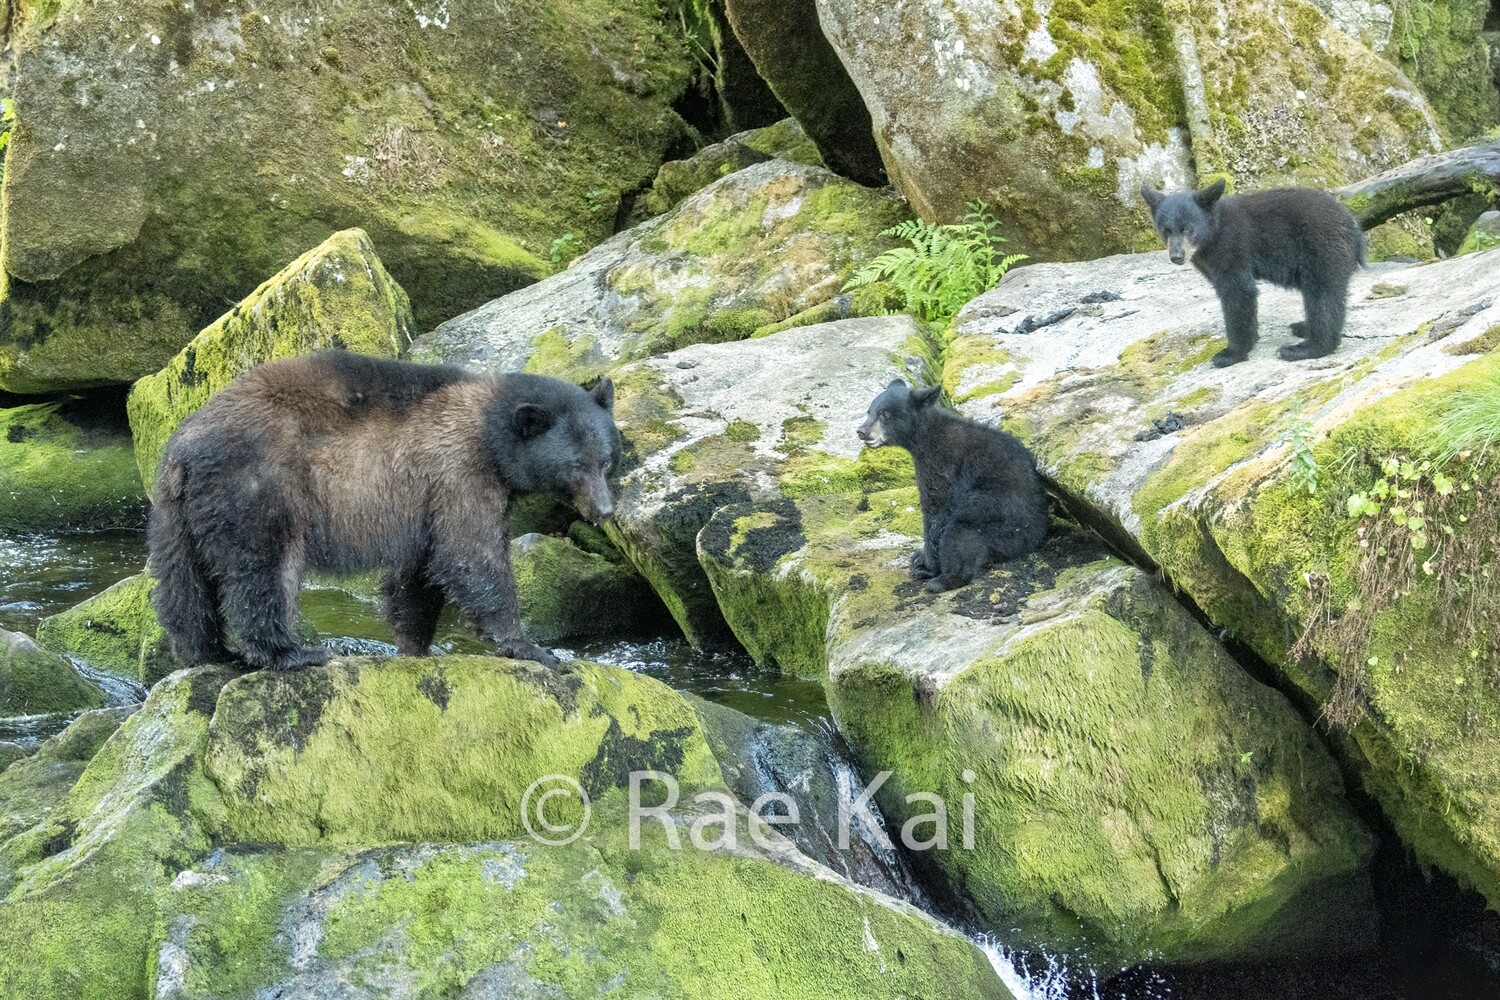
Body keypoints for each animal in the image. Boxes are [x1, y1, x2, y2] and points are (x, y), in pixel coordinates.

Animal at [147, 351, 621, 670]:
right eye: (575, 465)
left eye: (606, 460)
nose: (603, 510)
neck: (491, 433)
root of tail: (186, 447)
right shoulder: (459, 474)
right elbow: (471, 554)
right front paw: (532, 647)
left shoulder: (424, 499)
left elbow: (420, 574)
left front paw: (413, 645)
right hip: (259, 488)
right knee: (265, 571)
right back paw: (292, 651)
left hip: (174, 512)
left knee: (181, 583)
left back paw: (206, 651)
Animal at [856, 379, 1049, 592]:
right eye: (869, 411)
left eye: (885, 414)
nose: (862, 431)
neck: (925, 435)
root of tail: (1035, 538)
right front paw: (918, 557)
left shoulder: (940, 465)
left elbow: (936, 509)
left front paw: (925, 566)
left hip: (996, 522)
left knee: (960, 533)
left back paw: (942, 581)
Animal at [1140, 180, 1366, 367]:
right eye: (1166, 230)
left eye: (1187, 228)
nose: (1177, 256)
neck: (1212, 233)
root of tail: (1354, 227)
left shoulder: (1232, 249)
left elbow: (1238, 293)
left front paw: (1230, 354)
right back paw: (1303, 327)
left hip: (1321, 249)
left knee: (1323, 296)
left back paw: (1304, 349)